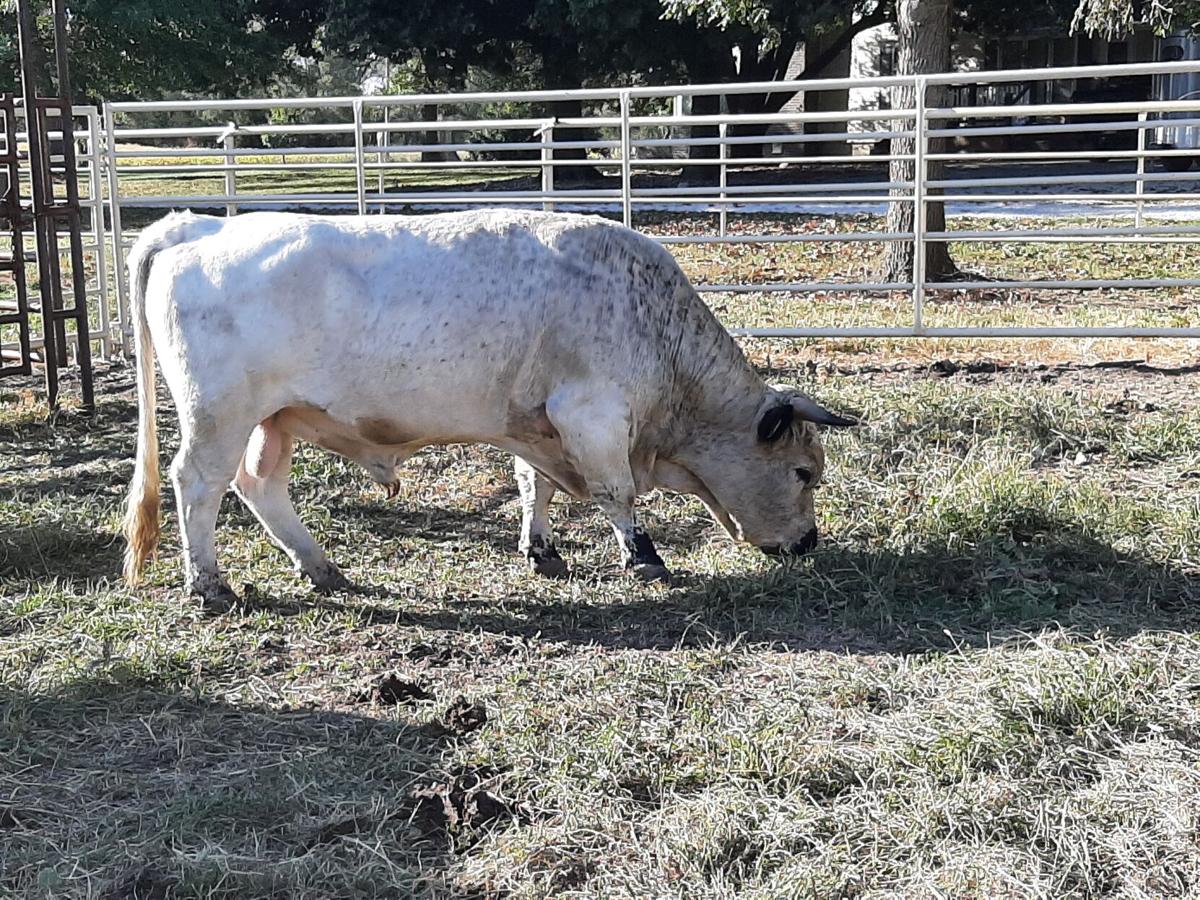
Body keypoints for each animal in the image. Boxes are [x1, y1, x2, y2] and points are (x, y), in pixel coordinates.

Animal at [122, 209, 855, 608]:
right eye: (803, 473)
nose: (809, 543)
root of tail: (198, 225)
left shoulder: (535, 424)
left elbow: (535, 487)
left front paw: (542, 550)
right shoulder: (591, 414)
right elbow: (616, 493)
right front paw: (643, 556)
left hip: (274, 419)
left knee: (260, 486)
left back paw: (322, 567)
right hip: (219, 414)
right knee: (199, 485)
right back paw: (209, 586)